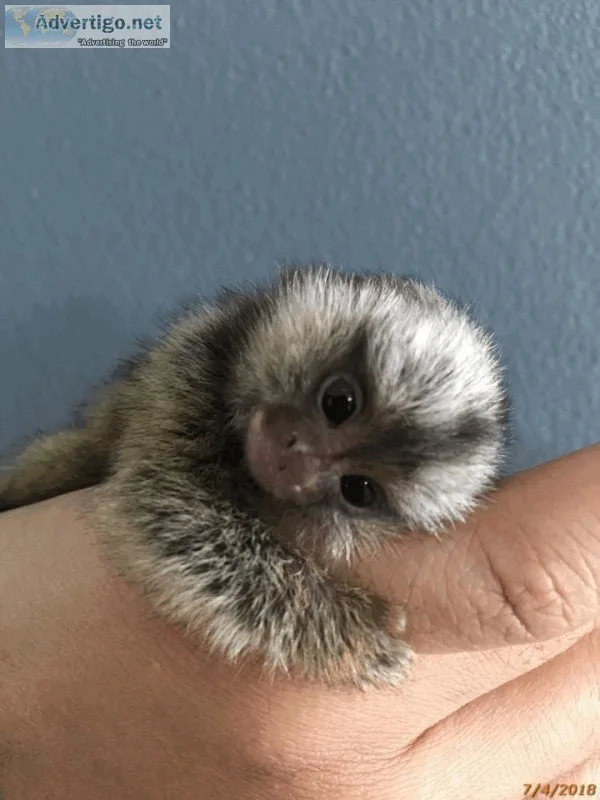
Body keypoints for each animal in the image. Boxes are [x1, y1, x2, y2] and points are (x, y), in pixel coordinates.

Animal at [0, 265, 508, 688]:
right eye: (339, 402)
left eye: (358, 489)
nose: (293, 461)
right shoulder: (186, 370)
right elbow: (168, 507)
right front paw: (347, 629)